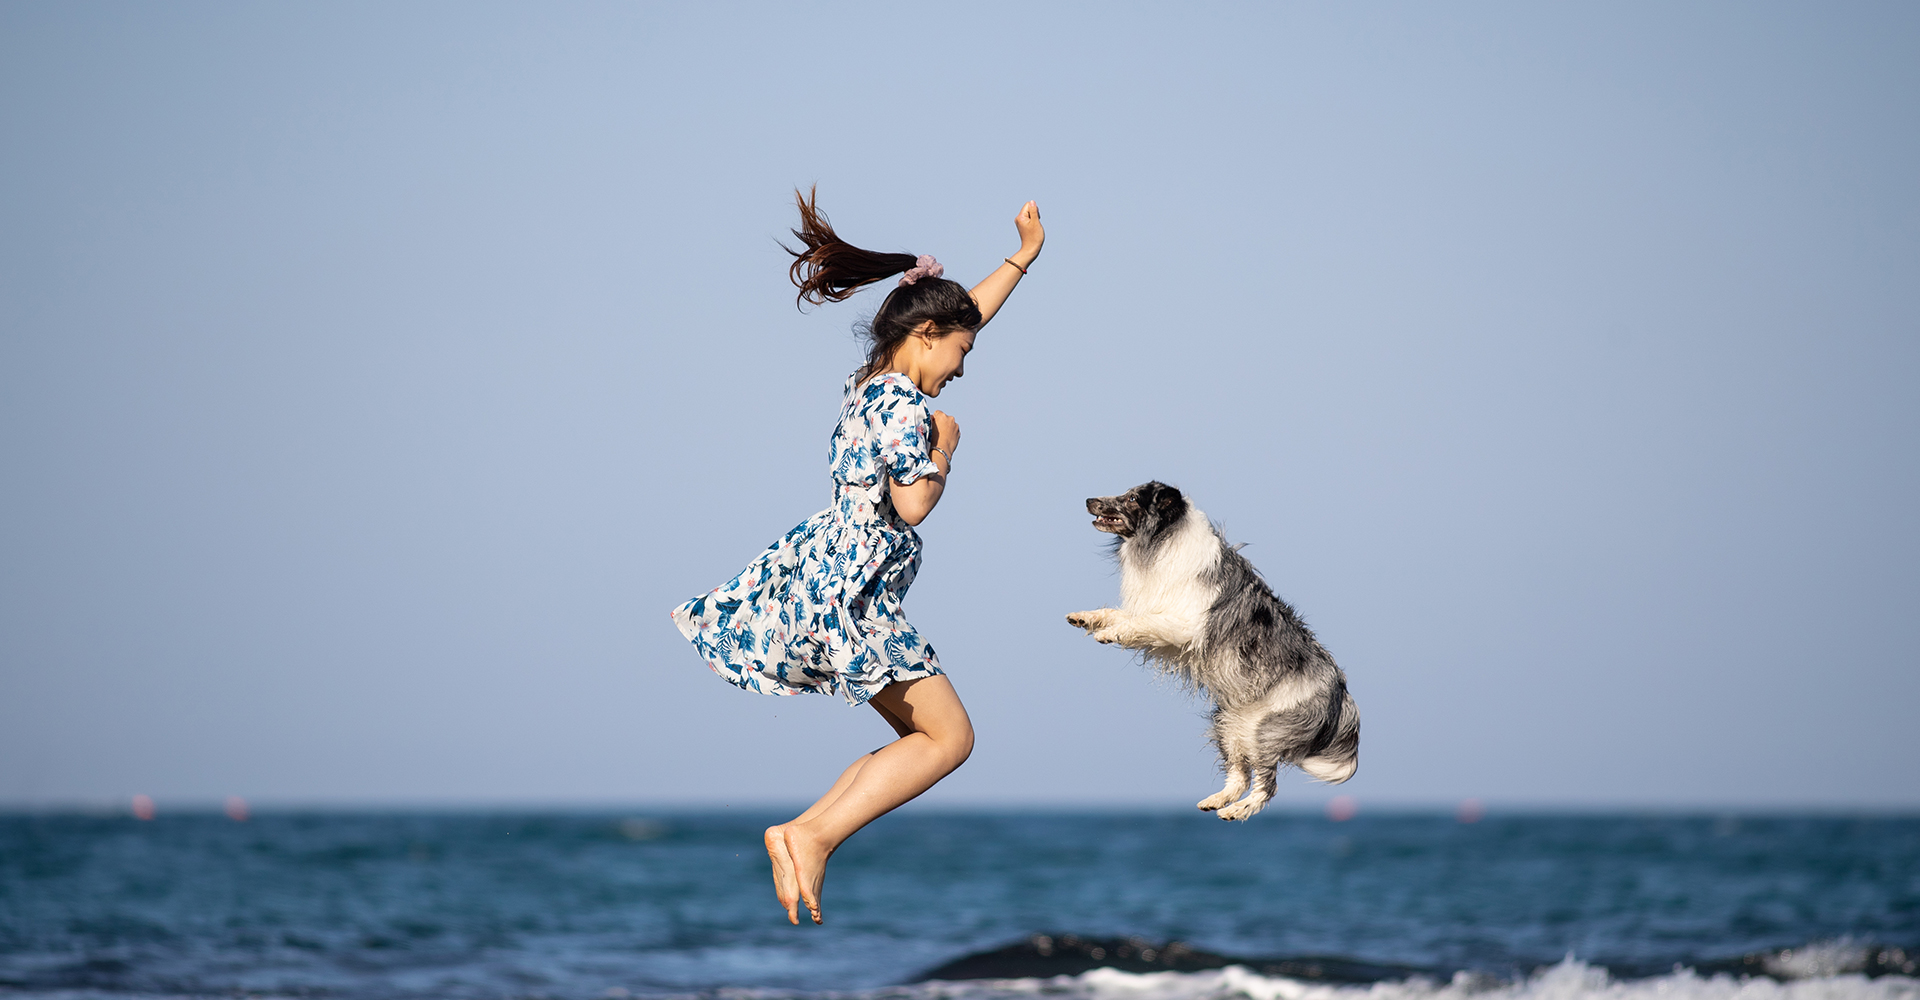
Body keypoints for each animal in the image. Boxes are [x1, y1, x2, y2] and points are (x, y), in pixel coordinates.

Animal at [1067, 481, 1367, 817]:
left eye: (1131, 498)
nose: (1088, 499)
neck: (1163, 542)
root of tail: (1342, 694)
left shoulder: (1185, 624)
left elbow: (1142, 622)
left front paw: (1110, 633)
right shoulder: (1156, 606)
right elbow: (1122, 613)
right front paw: (1086, 617)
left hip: (1268, 729)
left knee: (1267, 784)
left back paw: (1238, 810)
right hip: (1229, 722)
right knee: (1240, 774)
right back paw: (1217, 801)